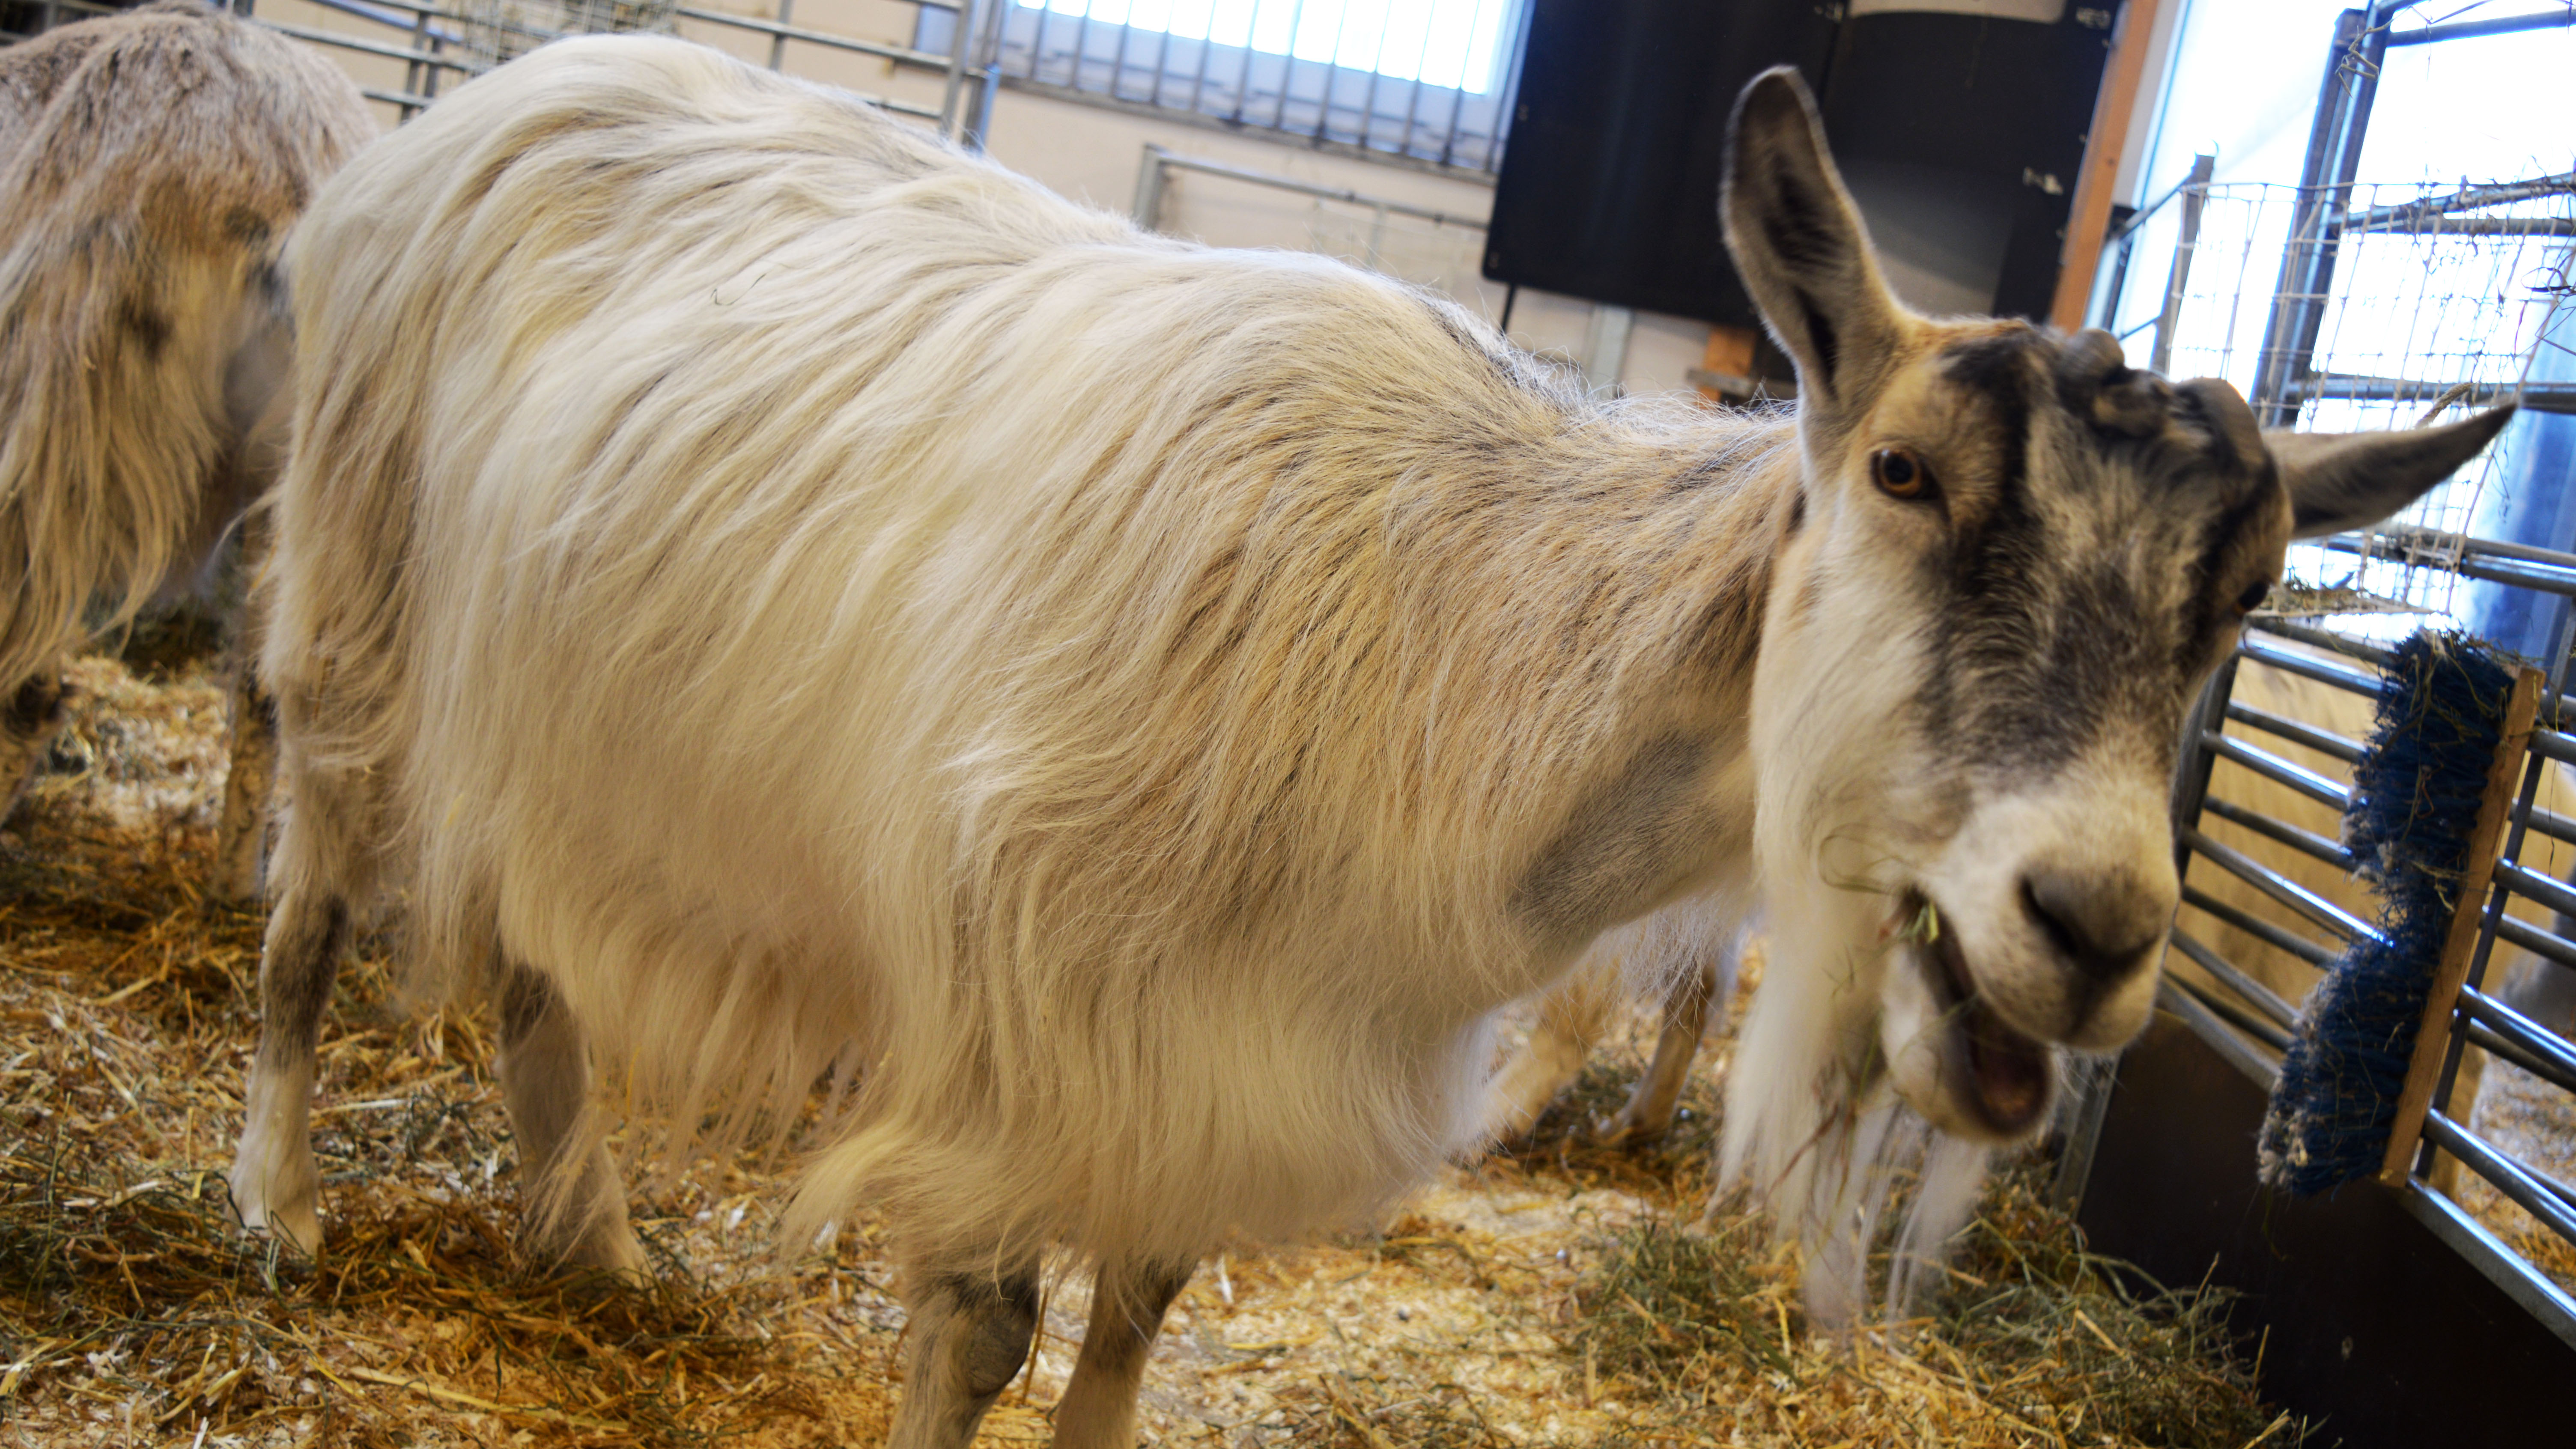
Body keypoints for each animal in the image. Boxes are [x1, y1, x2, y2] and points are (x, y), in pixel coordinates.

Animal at [229, 37, 2509, 1447]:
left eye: (2245, 593)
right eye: (1901, 472)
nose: (2092, 923)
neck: (1444, 663)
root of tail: (488, 102)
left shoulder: (1208, 1072)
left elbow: (1133, 1320)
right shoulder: (1017, 1041)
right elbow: (989, 1329)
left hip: (560, 708)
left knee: (531, 941)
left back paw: (592, 1231)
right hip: (359, 614)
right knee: (313, 925)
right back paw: (278, 1211)